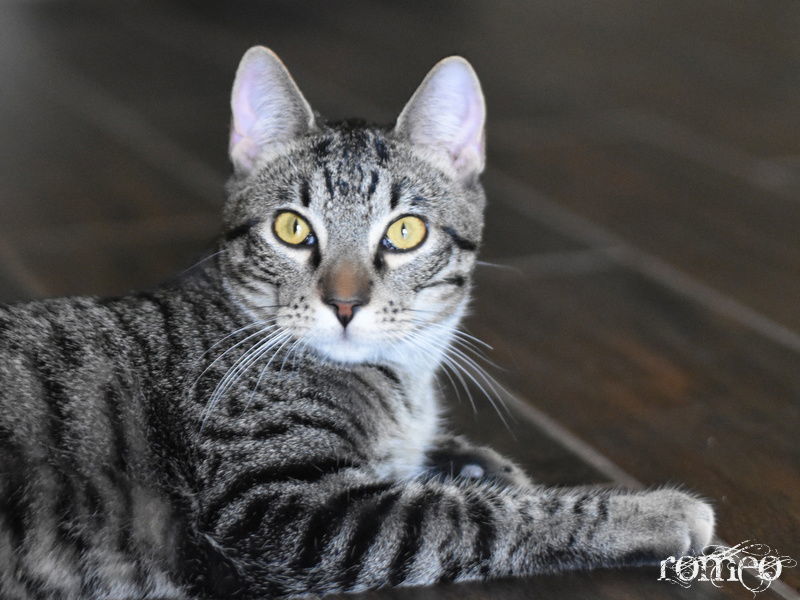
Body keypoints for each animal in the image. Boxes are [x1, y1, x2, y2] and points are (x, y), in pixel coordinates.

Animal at [0, 48, 712, 600]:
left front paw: (473, 463)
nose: (345, 303)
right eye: (292, 229)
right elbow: (478, 518)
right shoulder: (286, 510)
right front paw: (650, 511)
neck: (403, 377)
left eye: (406, 232)